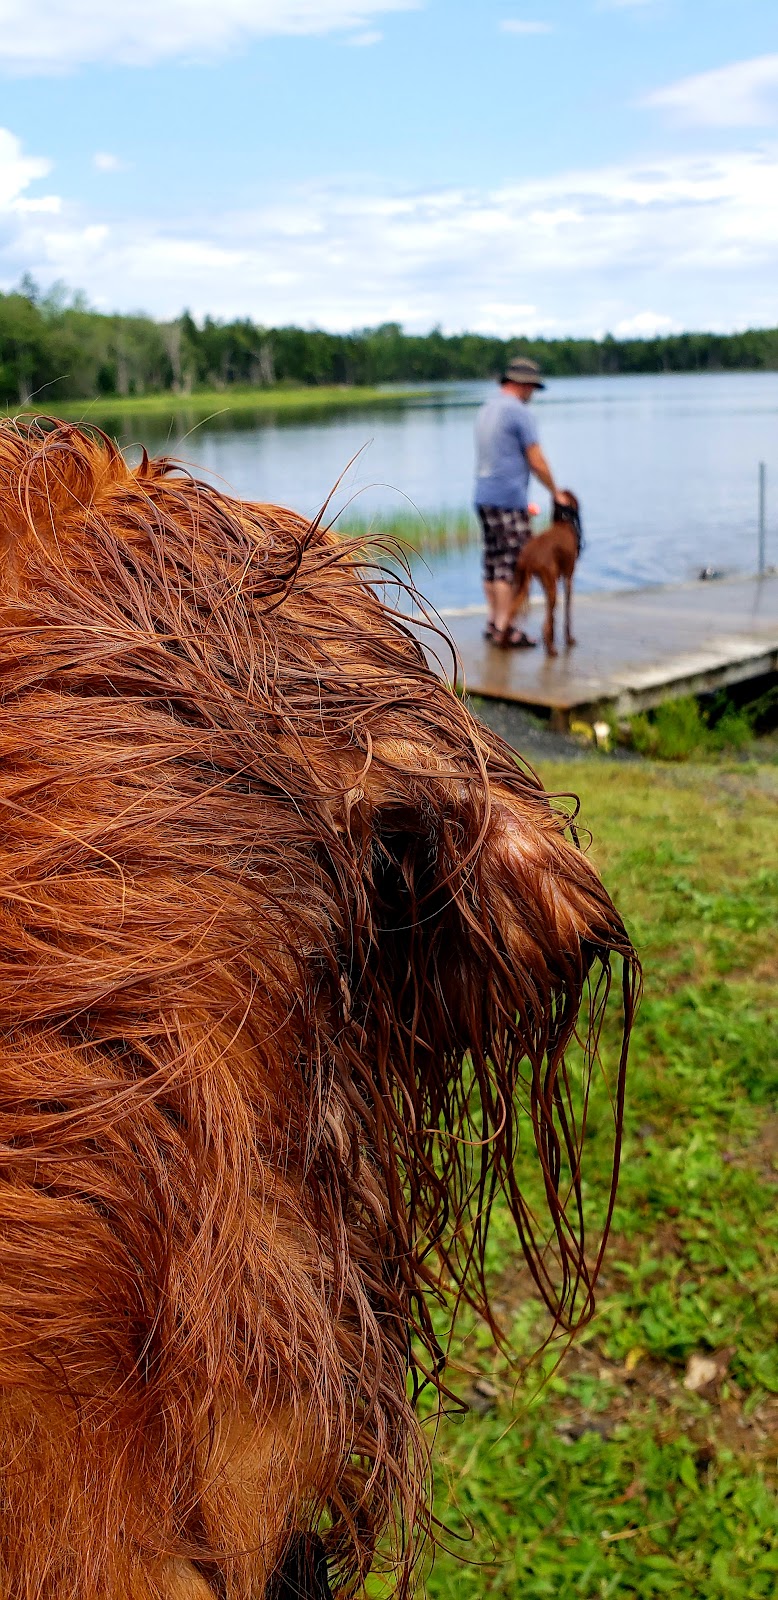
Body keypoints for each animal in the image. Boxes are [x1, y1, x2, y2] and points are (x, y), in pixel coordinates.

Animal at [509, 492, 582, 656]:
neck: (563, 523)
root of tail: (528, 554)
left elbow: (554, 617)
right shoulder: (568, 578)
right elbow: (567, 612)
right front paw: (569, 639)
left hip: (526, 582)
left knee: (510, 613)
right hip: (550, 584)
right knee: (545, 622)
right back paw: (550, 648)